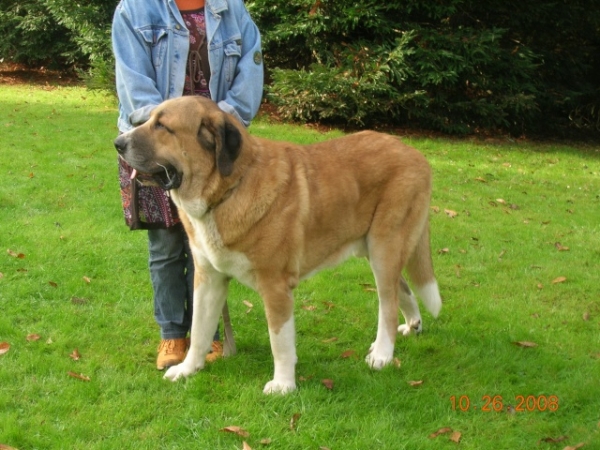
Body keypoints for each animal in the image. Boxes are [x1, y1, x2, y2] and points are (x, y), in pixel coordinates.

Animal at [115, 96, 440, 394]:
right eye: (146, 120)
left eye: (162, 126)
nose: (118, 143)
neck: (230, 188)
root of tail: (415, 154)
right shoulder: (208, 280)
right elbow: (199, 330)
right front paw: (188, 369)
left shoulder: (275, 286)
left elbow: (279, 340)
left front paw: (283, 385)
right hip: (376, 251)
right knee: (402, 289)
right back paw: (412, 325)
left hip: (385, 246)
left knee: (388, 303)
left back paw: (383, 354)